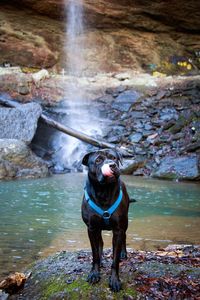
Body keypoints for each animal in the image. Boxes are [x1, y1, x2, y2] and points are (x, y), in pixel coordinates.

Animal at [81, 149, 130, 292]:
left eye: (114, 158)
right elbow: (95, 254)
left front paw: (114, 280)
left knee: (125, 236)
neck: (103, 191)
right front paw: (94, 273)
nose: (112, 165)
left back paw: (124, 253)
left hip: (125, 223)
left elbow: (115, 259)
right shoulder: (91, 228)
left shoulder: (118, 229)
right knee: (100, 243)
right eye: (98, 160)